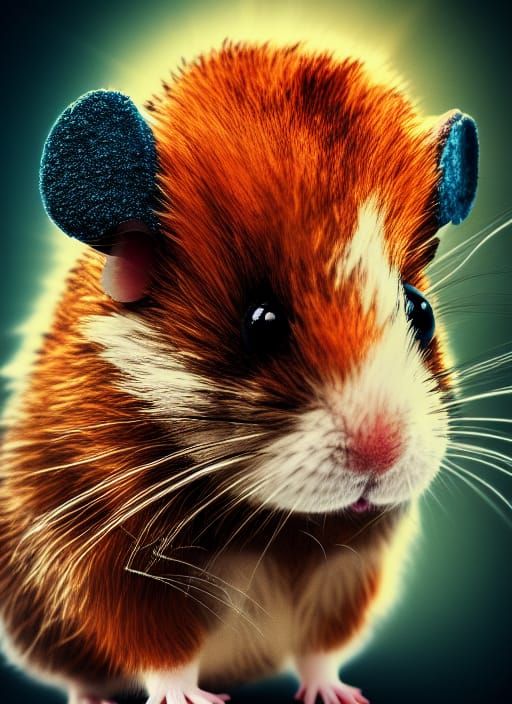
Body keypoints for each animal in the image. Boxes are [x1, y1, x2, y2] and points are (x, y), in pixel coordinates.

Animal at [0, 42, 477, 704]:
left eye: (421, 311)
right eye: (262, 320)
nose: (381, 456)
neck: (271, 524)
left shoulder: (347, 573)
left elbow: (321, 648)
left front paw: (337, 695)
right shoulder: (115, 566)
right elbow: (165, 654)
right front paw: (189, 699)